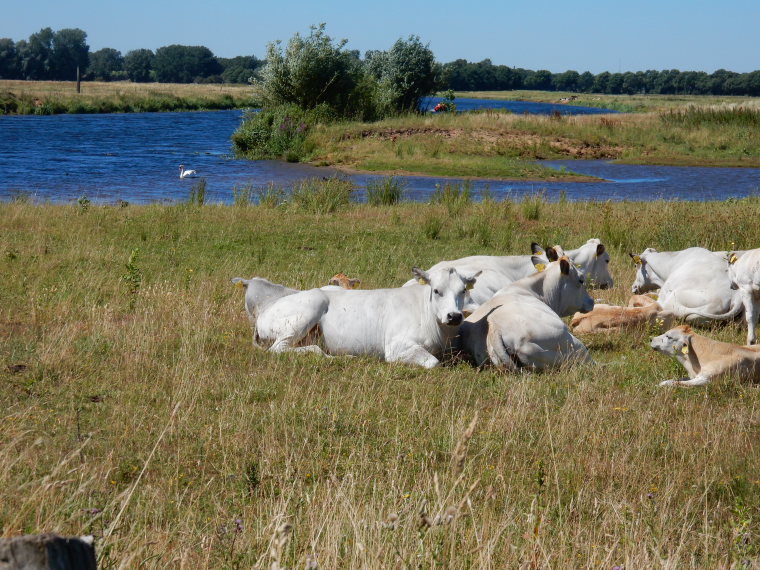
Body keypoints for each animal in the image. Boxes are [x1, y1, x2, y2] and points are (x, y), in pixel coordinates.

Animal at [233, 268, 480, 368]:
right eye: (436, 290)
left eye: (463, 291)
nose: (454, 316)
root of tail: (265, 312)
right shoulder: (396, 347)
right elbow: (432, 362)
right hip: (308, 309)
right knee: (281, 349)